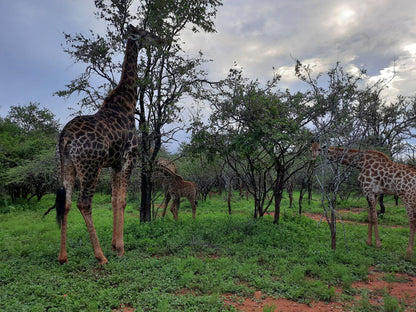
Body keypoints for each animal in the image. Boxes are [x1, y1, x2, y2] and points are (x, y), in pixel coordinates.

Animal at [54, 25, 164, 264]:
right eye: (145, 33)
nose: (161, 40)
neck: (127, 104)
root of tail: (65, 137)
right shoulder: (128, 159)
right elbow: (122, 201)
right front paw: (120, 248)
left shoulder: (114, 164)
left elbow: (114, 200)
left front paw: (115, 245)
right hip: (90, 166)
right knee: (84, 203)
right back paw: (100, 256)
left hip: (67, 165)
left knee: (66, 203)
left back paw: (63, 257)